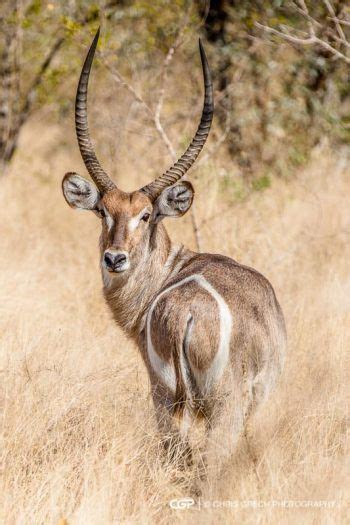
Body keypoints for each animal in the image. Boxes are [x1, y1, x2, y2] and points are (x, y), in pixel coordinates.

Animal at [62, 28, 288, 470]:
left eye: (146, 214)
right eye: (103, 211)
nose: (114, 258)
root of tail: (185, 312)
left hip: (167, 399)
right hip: (219, 407)